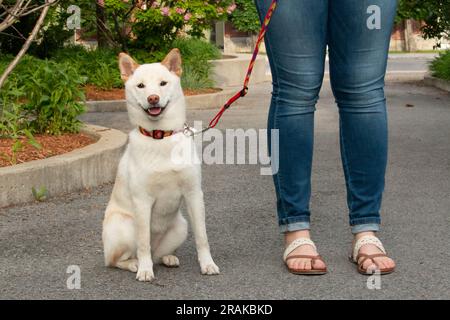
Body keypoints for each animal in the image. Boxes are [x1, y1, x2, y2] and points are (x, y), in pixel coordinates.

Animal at [102, 48, 221, 282]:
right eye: (141, 86)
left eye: (163, 83)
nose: (153, 98)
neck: (161, 137)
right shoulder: (142, 201)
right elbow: (143, 243)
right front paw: (145, 270)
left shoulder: (194, 194)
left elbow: (202, 236)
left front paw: (207, 264)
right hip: (125, 226)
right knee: (118, 259)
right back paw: (134, 264)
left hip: (181, 227)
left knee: (157, 254)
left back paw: (168, 257)